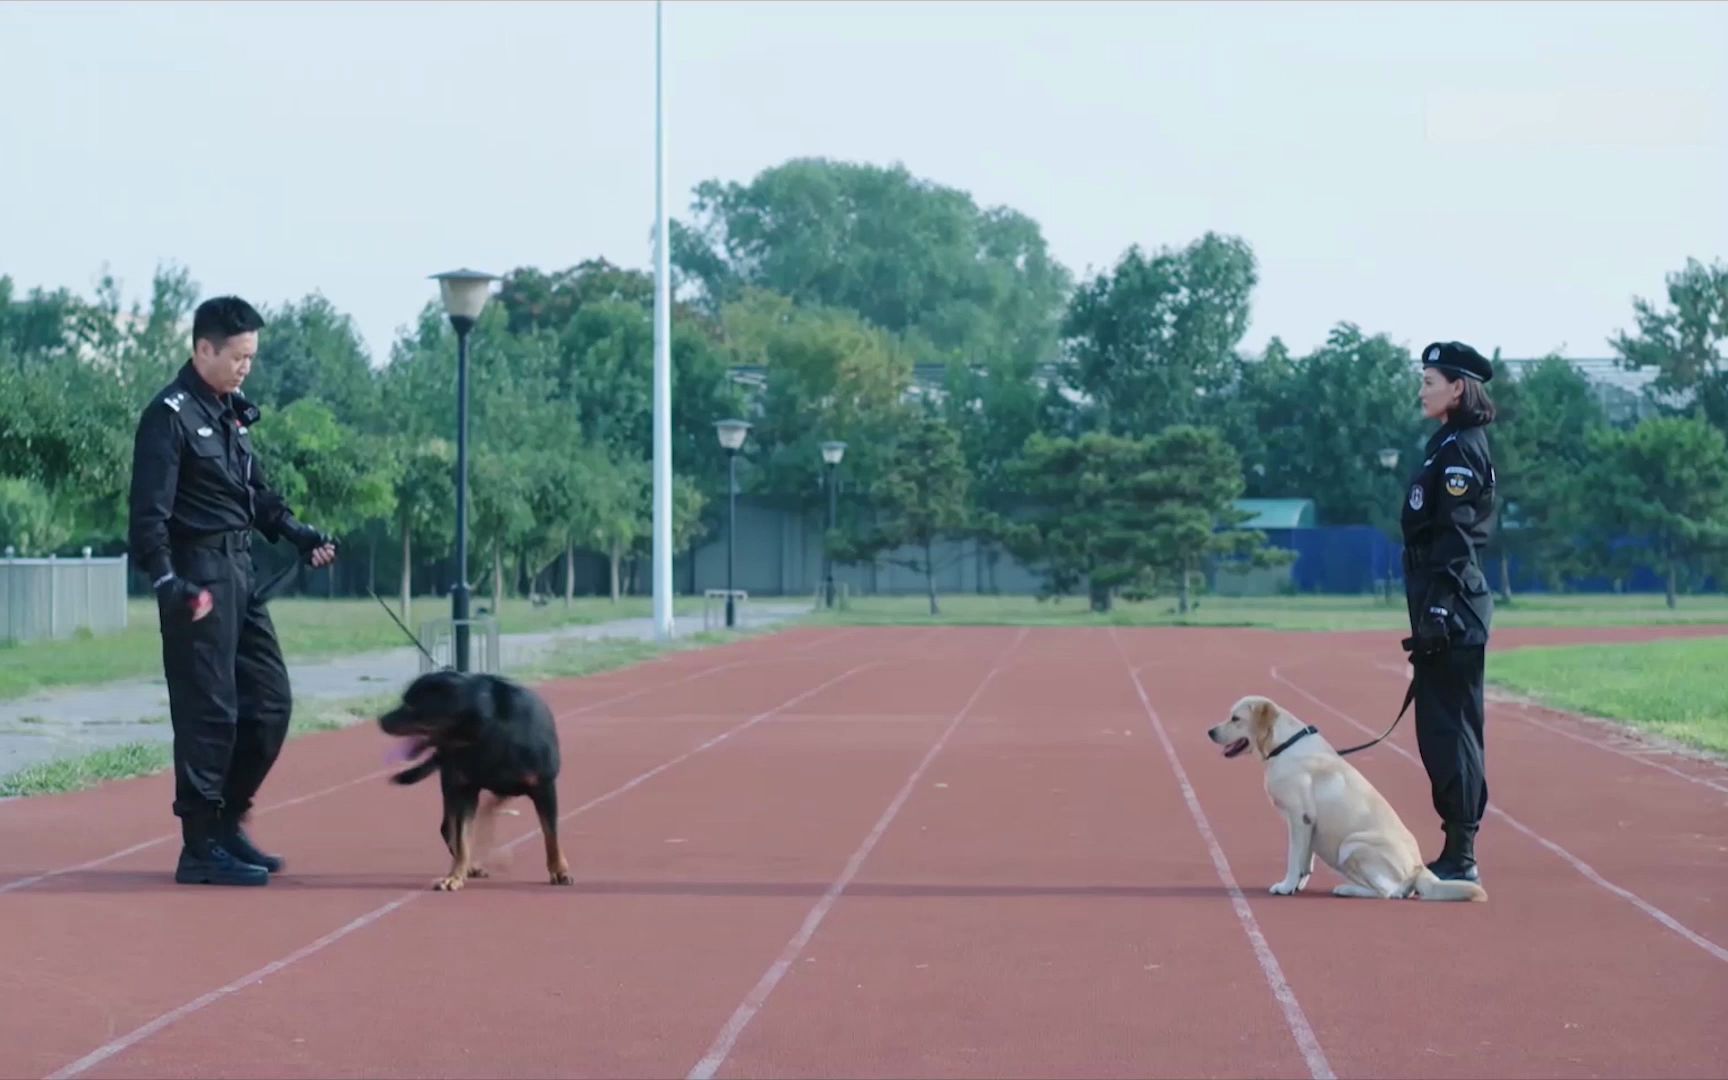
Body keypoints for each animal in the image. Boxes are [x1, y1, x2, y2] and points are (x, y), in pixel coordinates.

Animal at [378, 670, 573, 891]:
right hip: (451, 781)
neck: (488, 732)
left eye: (412, 704)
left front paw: (559, 871)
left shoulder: (544, 787)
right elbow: (462, 838)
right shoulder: (465, 790)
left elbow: (551, 835)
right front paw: (455, 875)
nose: (381, 719)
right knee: (450, 827)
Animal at [1216, 691, 1486, 898]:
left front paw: (1286, 886)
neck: (1284, 745)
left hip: (1352, 844)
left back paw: (1346, 889)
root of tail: (1418, 869)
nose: (1211, 731)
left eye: (1235, 718)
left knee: (1388, 892)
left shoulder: (1299, 819)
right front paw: (1298, 884)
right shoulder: (1309, 824)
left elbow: (1294, 857)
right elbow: (1305, 860)